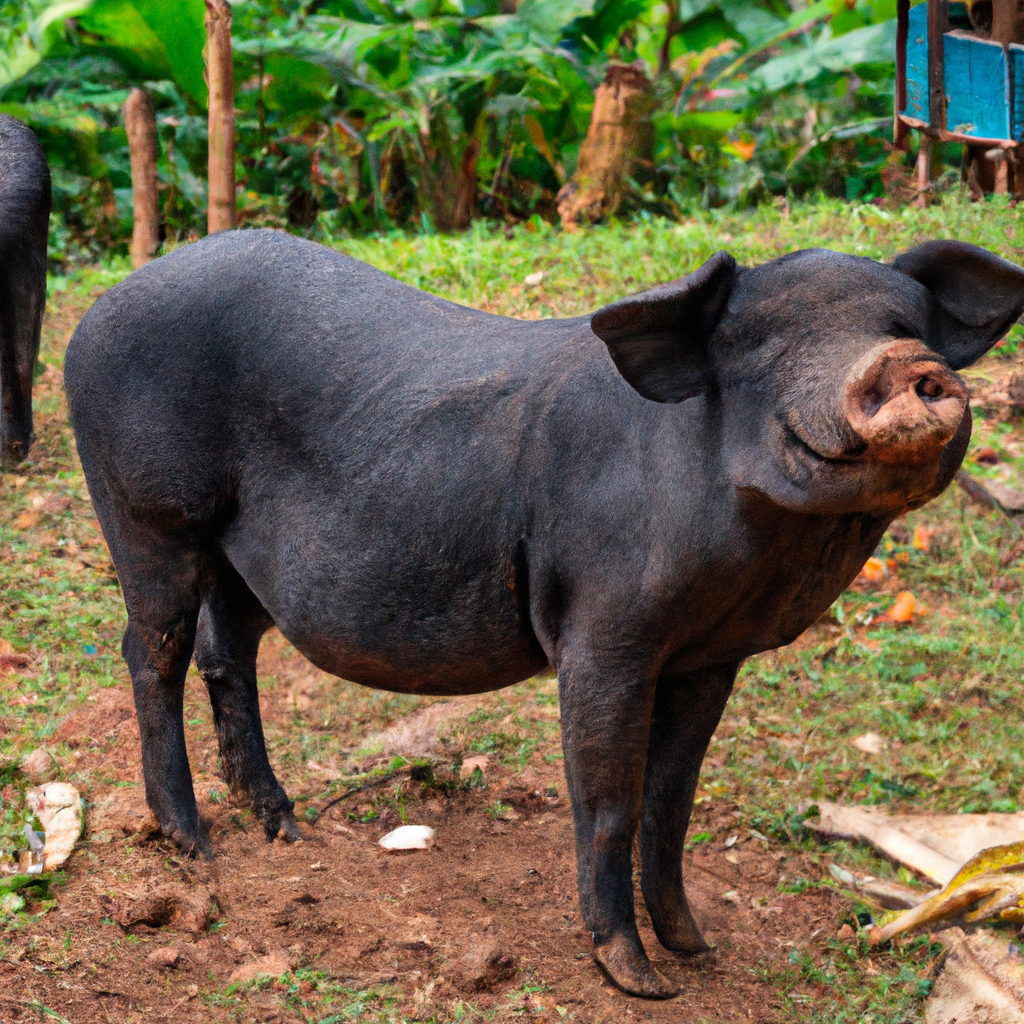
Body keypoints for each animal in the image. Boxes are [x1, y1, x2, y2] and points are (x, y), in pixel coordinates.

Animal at [64, 230, 1024, 991]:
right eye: (765, 340)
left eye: (906, 324)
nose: (906, 365)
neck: (758, 560)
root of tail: (97, 314)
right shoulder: (604, 630)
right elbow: (608, 799)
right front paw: (637, 979)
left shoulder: (712, 652)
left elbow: (672, 799)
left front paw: (698, 950)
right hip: (145, 511)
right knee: (150, 649)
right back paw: (195, 844)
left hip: (241, 556)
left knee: (228, 650)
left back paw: (285, 829)